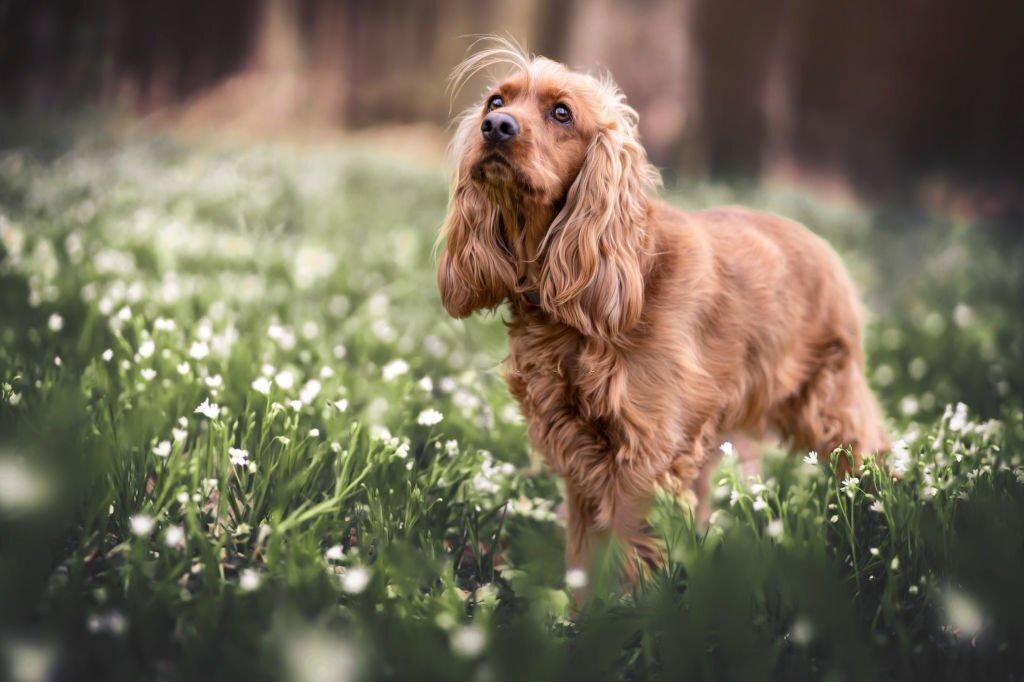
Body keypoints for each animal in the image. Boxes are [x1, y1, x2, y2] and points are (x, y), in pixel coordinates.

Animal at [434, 39, 888, 577]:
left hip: (832, 402)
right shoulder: (576, 446)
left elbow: (636, 554)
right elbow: (583, 555)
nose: (496, 127)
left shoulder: (646, 451)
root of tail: (824, 245)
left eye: (562, 113)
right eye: (496, 102)